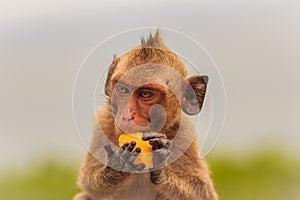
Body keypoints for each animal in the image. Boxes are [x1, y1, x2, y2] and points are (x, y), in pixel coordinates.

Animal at [72, 31, 218, 200]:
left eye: (146, 94)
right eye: (122, 89)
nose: (127, 116)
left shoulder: (185, 132)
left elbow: (203, 192)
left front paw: (160, 164)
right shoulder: (103, 122)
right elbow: (89, 183)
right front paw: (118, 164)